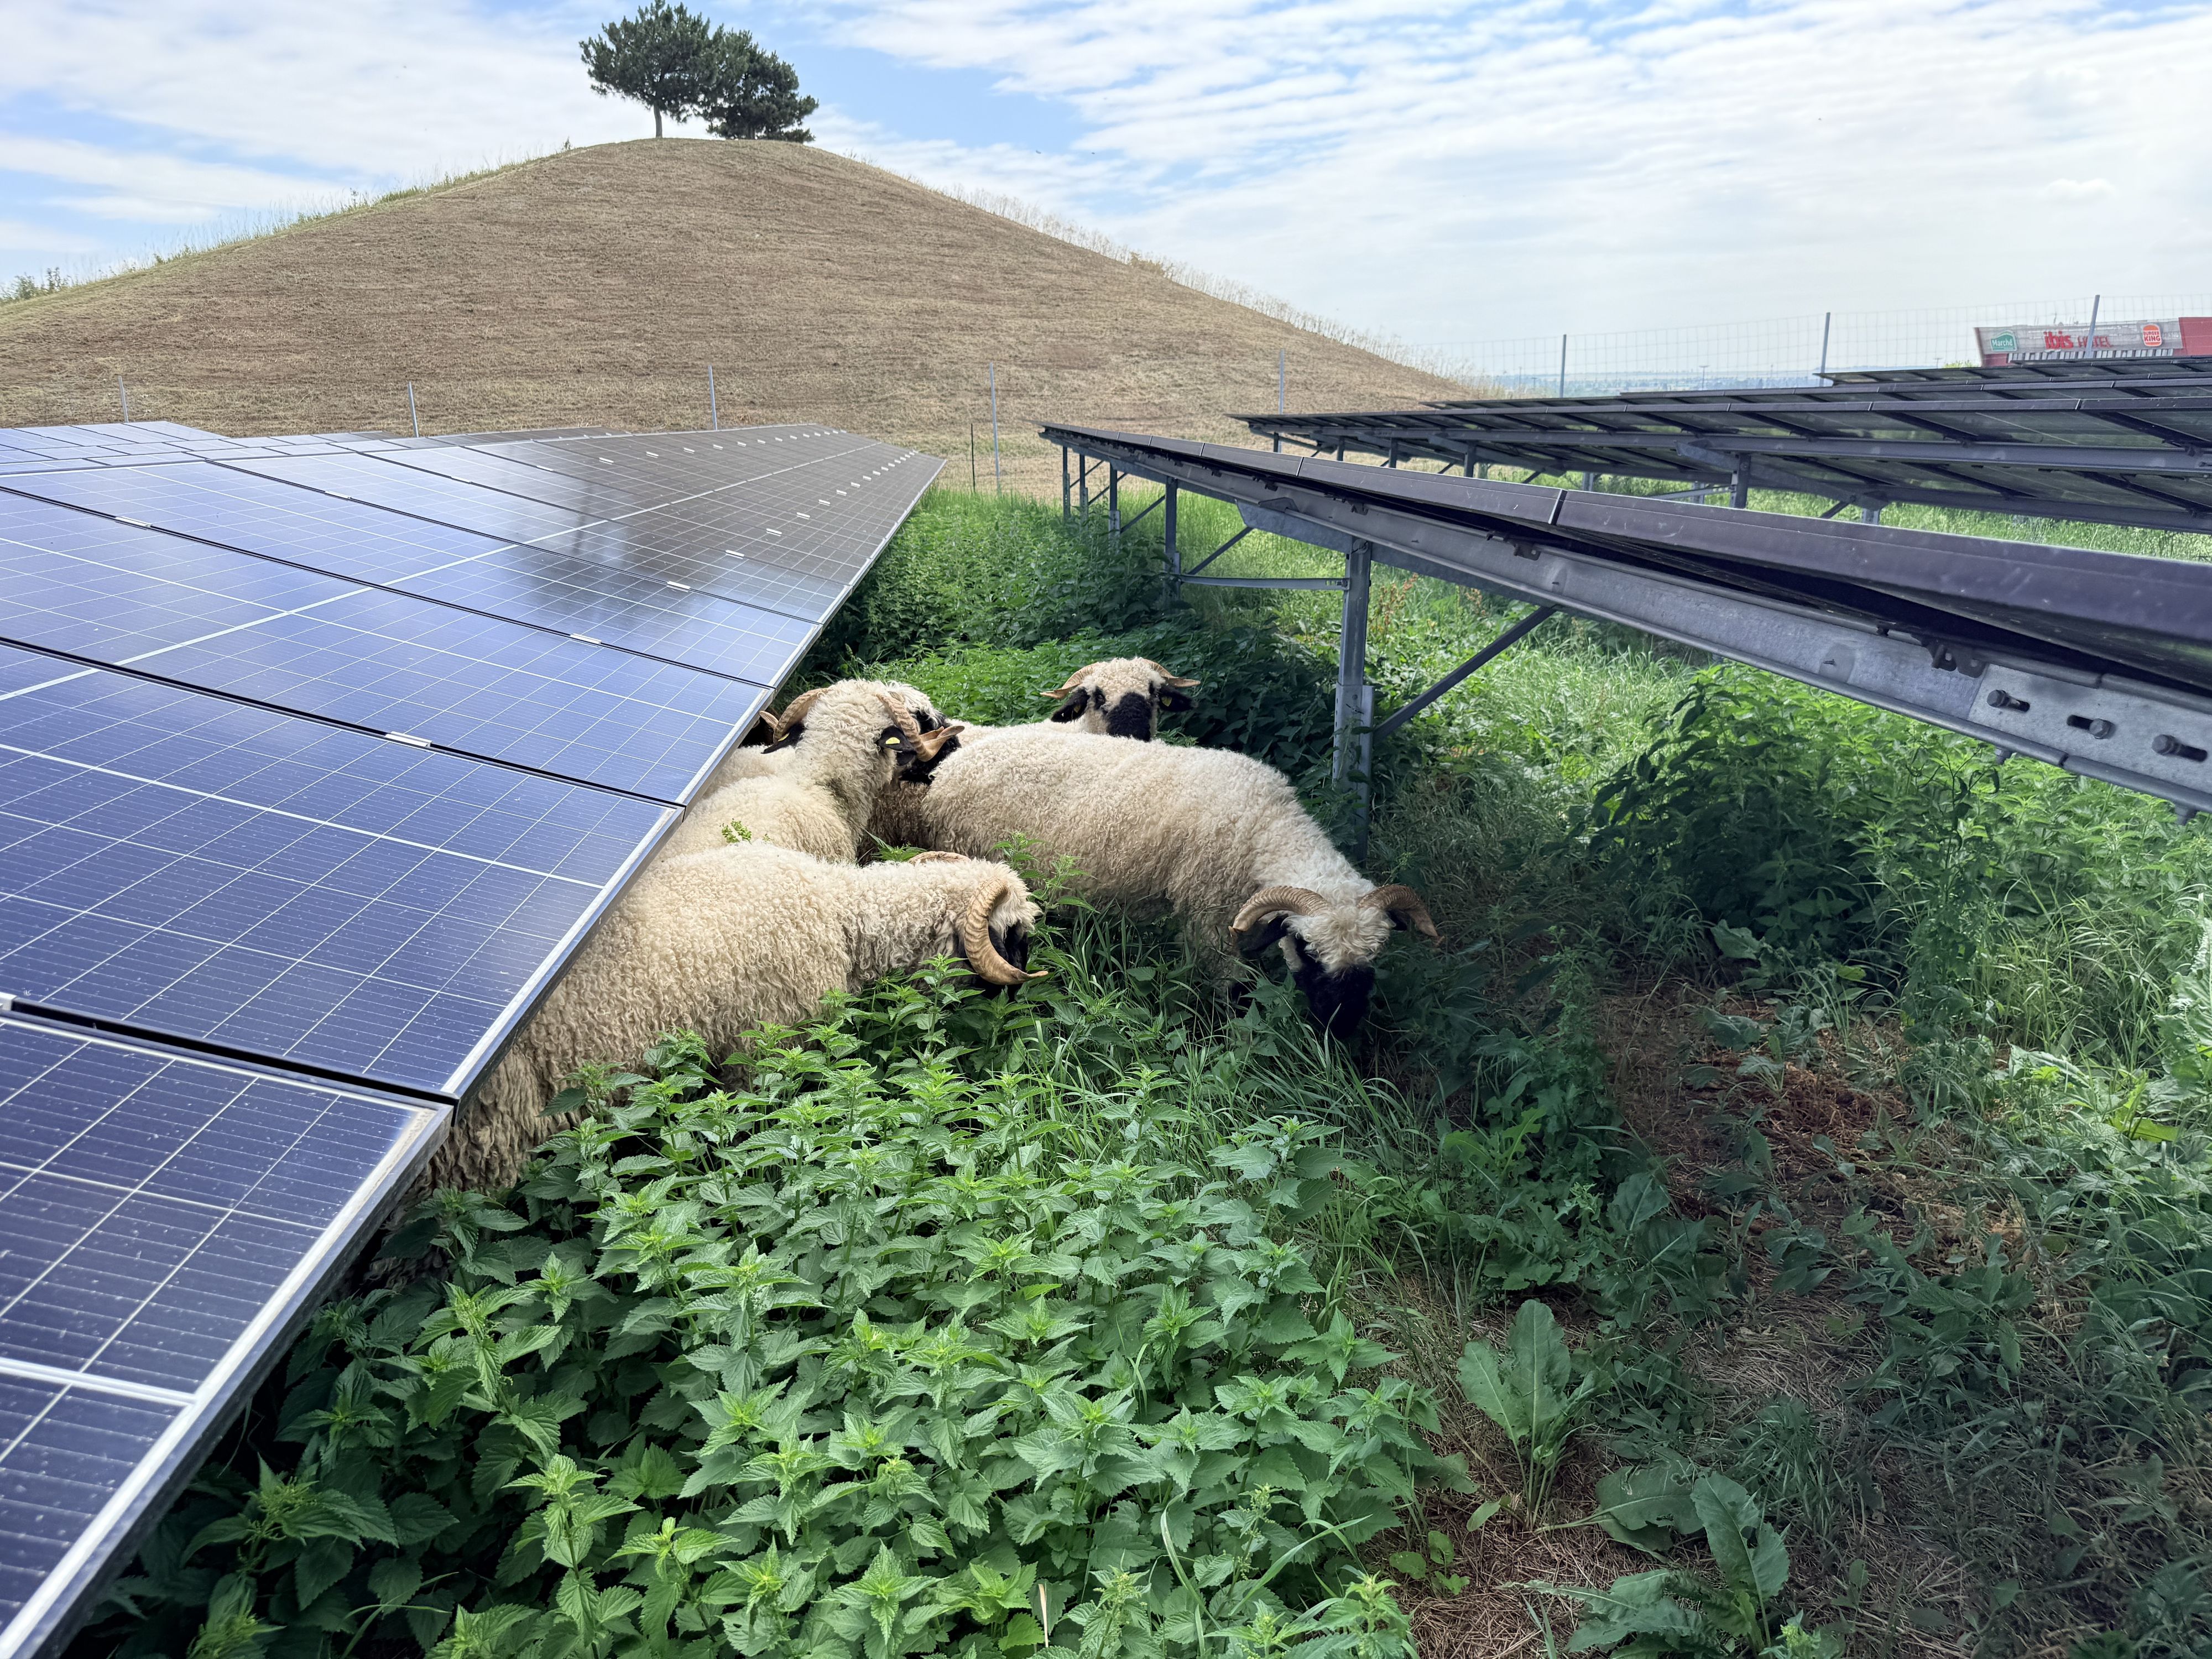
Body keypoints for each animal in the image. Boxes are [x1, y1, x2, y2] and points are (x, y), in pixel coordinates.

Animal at [857, 725, 1435, 1039]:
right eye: (1308, 950)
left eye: (1377, 954)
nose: (1340, 1029)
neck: (1262, 827)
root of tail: (951, 769)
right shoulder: (1208, 917)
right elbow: (1235, 993)